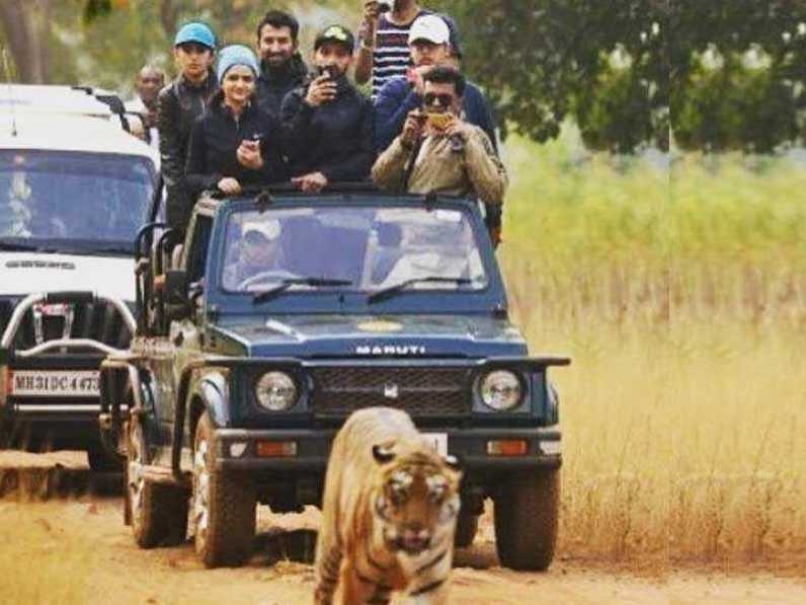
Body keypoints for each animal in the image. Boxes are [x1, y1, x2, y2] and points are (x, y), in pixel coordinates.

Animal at [314, 407, 463, 605]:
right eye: (401, 493)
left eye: (434, 495)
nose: (415, 529)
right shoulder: (357, 577)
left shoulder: (431, 583)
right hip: (331, 547)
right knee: (322, 590)